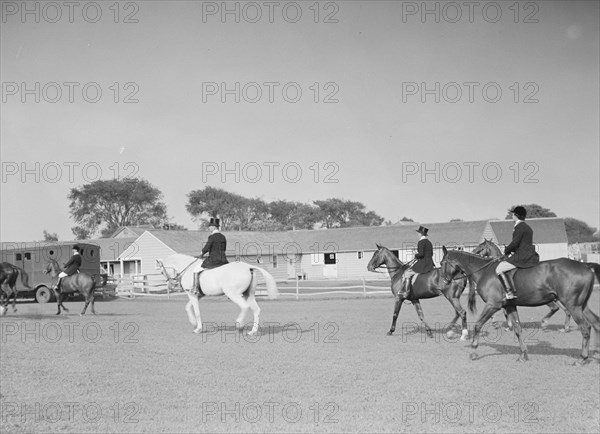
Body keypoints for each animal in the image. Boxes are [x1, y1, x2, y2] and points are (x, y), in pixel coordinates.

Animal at [436, 246, 600, 364]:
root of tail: (585, 266)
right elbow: (517, 329)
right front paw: (523, 355)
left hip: (573, 306)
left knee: (585, 327)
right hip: (581, 305)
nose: (442, 283)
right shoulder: (510, 306)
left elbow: (478, 325)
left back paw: (582, 358)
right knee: (596, 323)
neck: (484, 271)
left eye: (442, 263)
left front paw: (474, 351)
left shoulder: (493, 305)